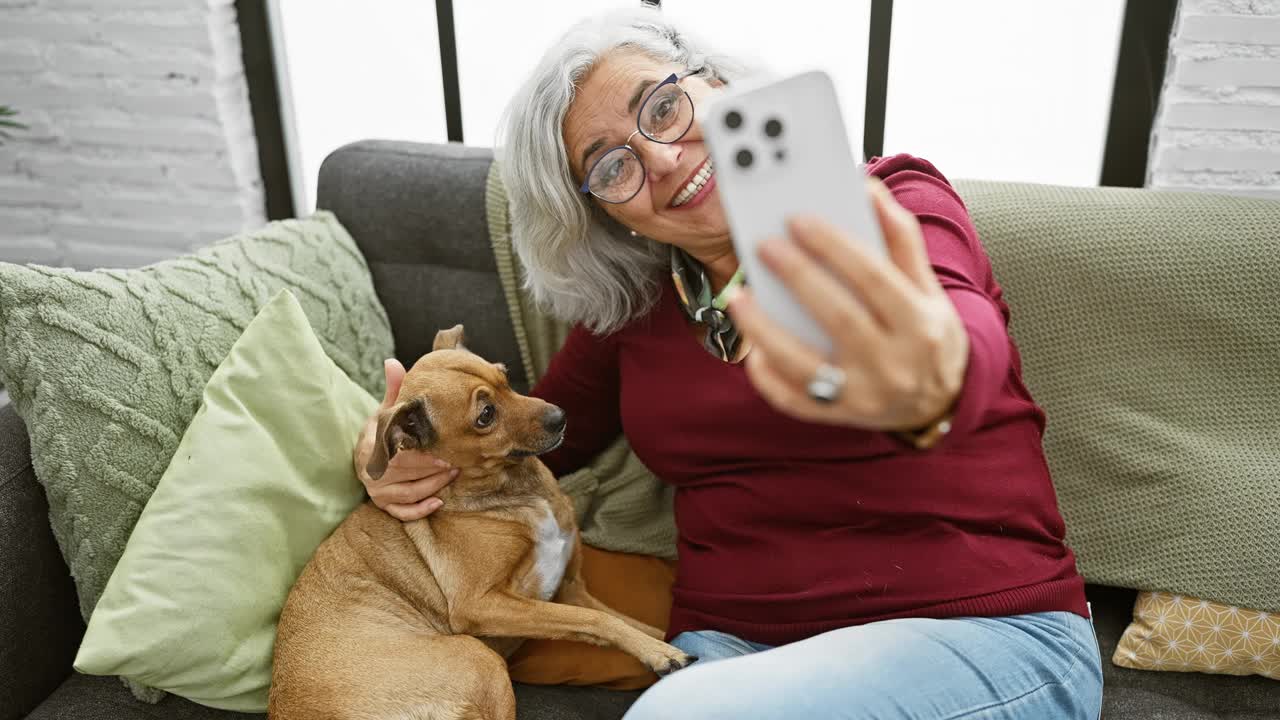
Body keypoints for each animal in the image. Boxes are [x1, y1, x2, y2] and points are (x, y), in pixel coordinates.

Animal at [263, 325, 696, 717]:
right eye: (486, 415)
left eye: (504, 377)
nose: (561, 416)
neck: (514, 491)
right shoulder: (485, 603)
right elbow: (595, 620)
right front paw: (661, 654)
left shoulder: (571, 588)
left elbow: (627, 622)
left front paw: (665, 644)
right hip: (482, 659)